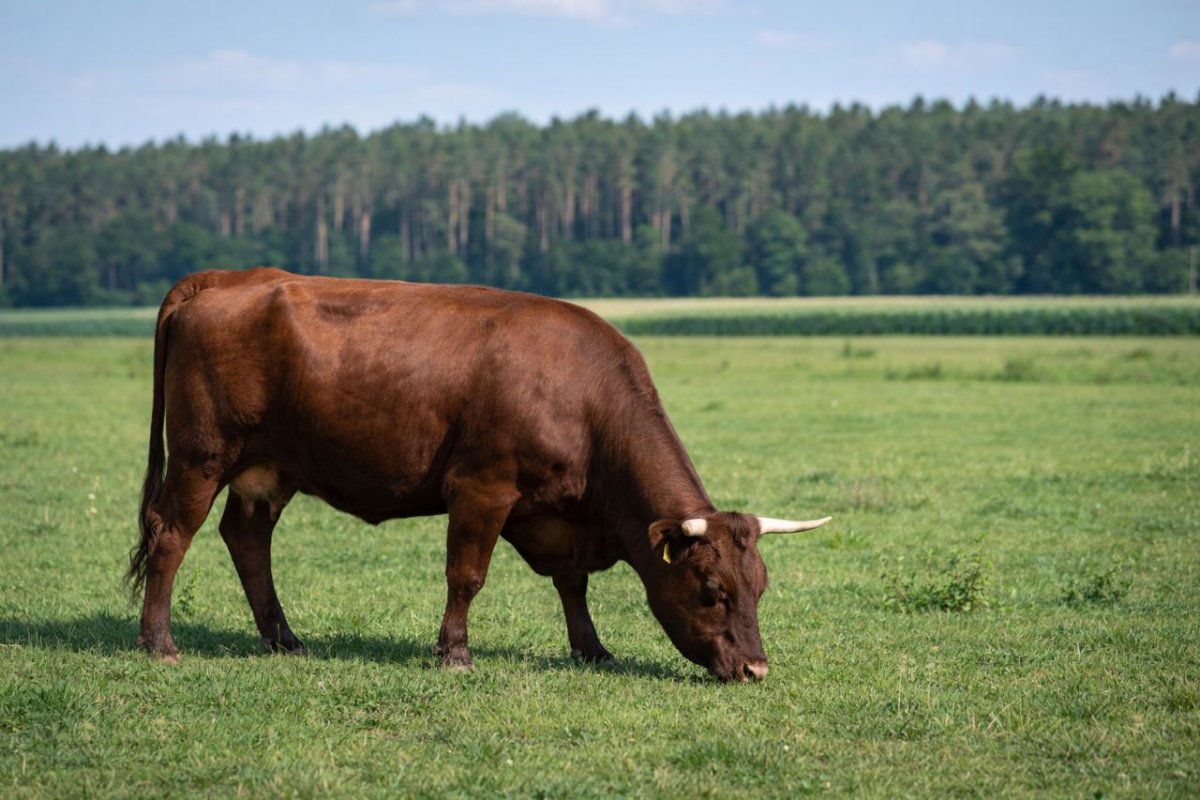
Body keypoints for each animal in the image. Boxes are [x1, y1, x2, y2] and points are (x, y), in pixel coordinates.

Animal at [127, 268, 830, 682]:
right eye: (712, 588)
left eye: (760, 586)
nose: (756, 670)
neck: (586, 398)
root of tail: (229, 277)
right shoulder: (482, 488)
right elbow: (466, 576)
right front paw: (455, 653)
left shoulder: (554, 513)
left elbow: (572, 585)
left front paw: (591, 648)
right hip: (201, 455)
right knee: (171, 535)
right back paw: (160, 642)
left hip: (267, 469)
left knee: (247, 540)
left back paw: (285, 639)